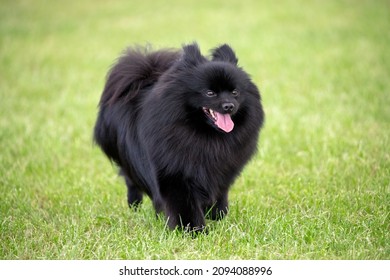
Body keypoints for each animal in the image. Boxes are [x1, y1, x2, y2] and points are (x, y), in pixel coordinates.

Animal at [95, 43, 266, 232]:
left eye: (235, 92)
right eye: (210, 93)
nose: (229, 105)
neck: (205, 136)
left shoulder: (221, 172)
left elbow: (219, 196)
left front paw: (216, 216)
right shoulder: (174, 174)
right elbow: (183, 206)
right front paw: (194, 230)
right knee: (130, 180)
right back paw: (136, 206)